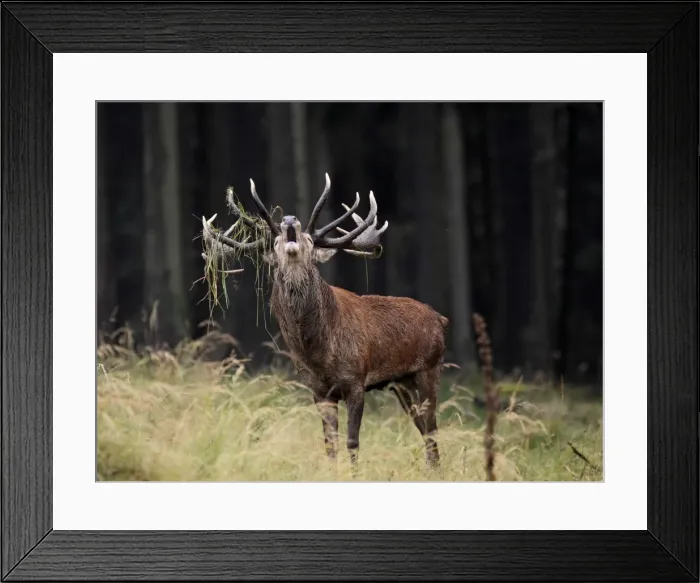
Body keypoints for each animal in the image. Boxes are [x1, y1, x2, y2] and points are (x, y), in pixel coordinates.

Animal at [201, 173, 449, 467]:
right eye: (275, 242)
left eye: (309, 239)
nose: (289, 220)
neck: (319, 352)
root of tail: (441, 319)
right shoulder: (319, 391)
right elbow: (330, 446)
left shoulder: (355, 381)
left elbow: (352, 443)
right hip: (401, 383)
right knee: (424, 429)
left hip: (428, 369)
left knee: (432, 430)